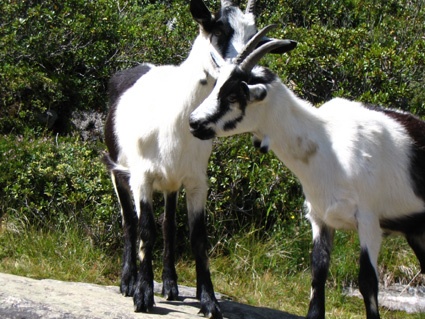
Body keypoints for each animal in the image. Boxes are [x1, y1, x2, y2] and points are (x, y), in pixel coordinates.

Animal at [103, 0, 280, 318]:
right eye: (218, 30)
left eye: (255, 35)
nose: (248, 79)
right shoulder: (143, 177)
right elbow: (145, 229)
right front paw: (143, 296)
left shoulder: (197, 181)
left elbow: (197, 237)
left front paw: (209, 301)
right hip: (118, 171)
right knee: (130, 223)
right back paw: (128, 282)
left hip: (172, 182)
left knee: (169, 225)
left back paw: (170, 286)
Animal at [189, 40, 424, 319]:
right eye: (215, 86)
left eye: (234, 95)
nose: (194, 122)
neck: (327, 145)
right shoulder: (320, 217)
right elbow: (318, 272)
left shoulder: (369, 219)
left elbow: (367, 282)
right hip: (417, 232)